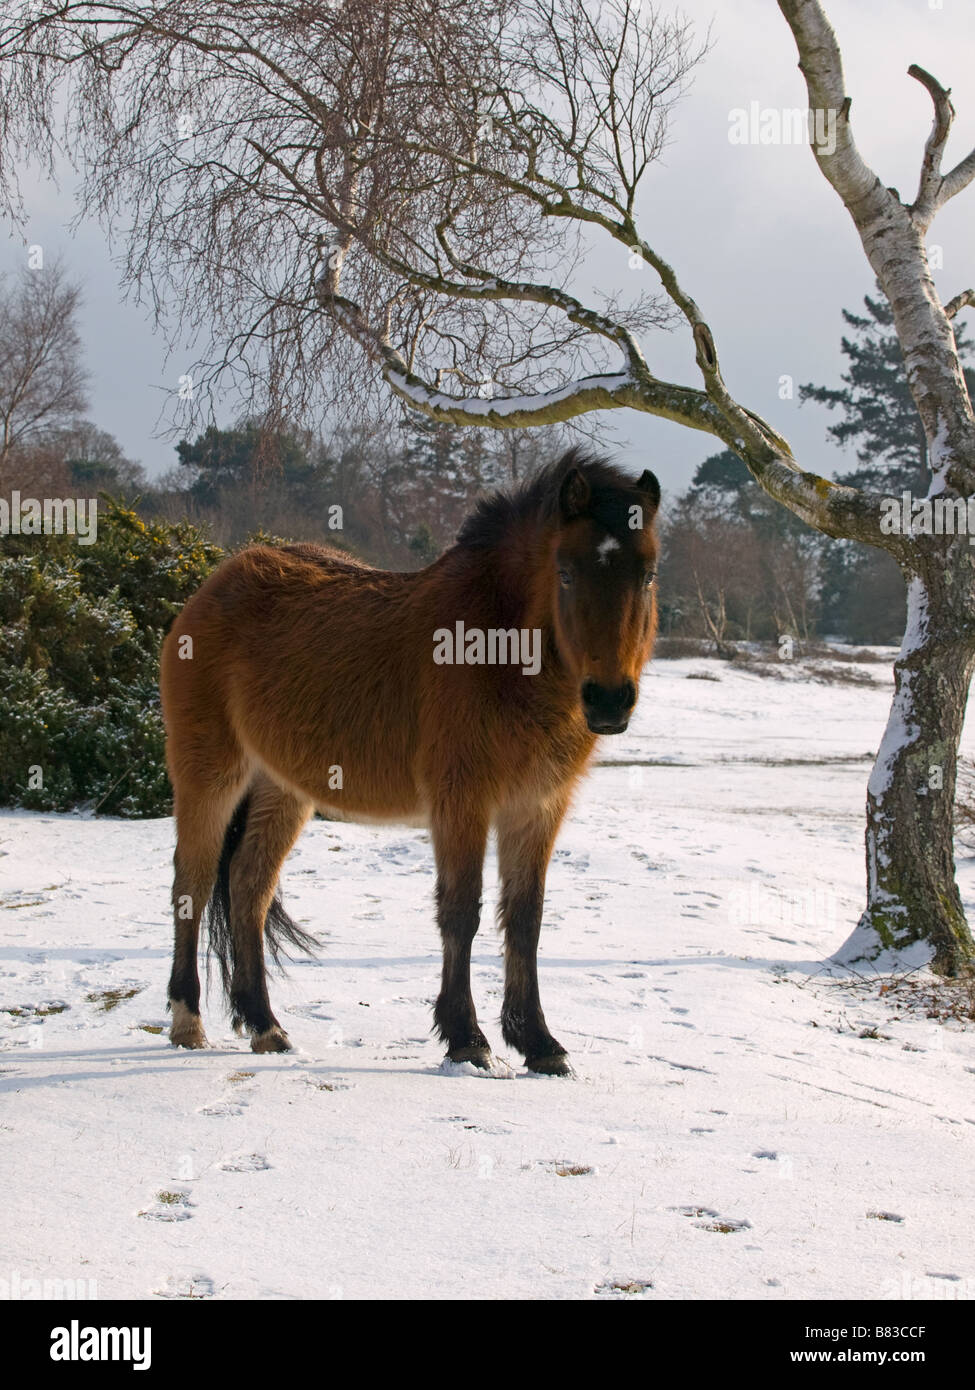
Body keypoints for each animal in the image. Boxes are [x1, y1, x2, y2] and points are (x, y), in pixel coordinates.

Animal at [161, 447, 662, 1073]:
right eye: (566, 572)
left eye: (648, 574)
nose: (609, 700)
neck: (497, 650)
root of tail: (213, 586)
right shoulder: (462, 802)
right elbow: (461, 912)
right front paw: (467, 1038)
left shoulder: (536, 808)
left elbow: (525, 920)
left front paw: (539, 1043)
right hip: (210, 775)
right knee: (194, 881)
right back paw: (188, 1019)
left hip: (283, 789)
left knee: (248, 887)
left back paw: (265, 1025)